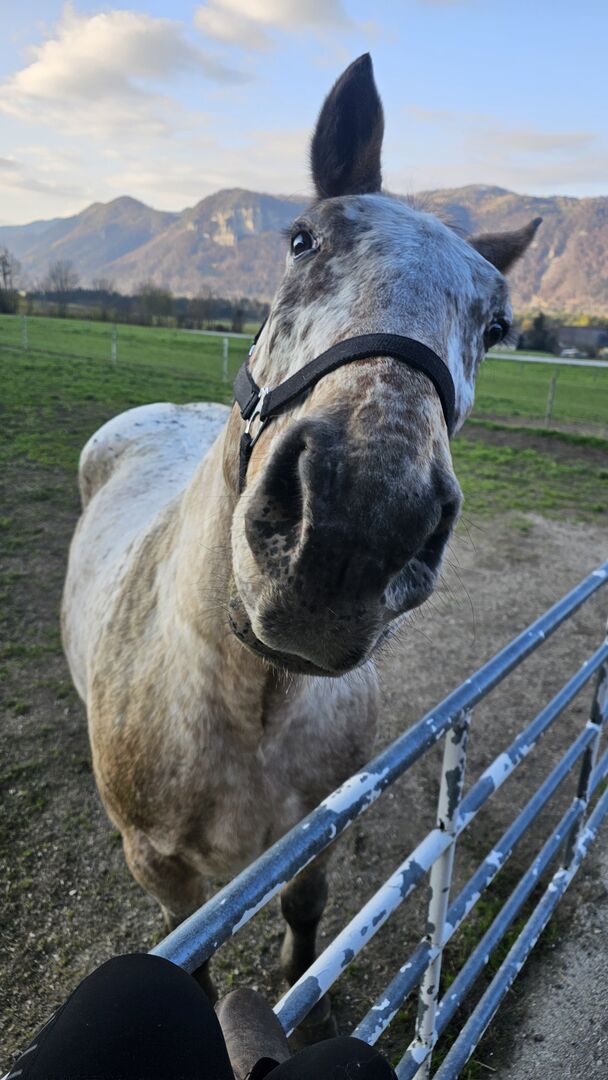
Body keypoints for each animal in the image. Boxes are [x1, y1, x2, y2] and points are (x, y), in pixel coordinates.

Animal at [62, 54, 540, 1025]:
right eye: (302, 240)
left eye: (498, 325)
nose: (355, 524)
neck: (250, 702)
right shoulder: (160, 870)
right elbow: (191, 960)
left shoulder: (320, 828)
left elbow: (306, 913)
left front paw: (305, 999)